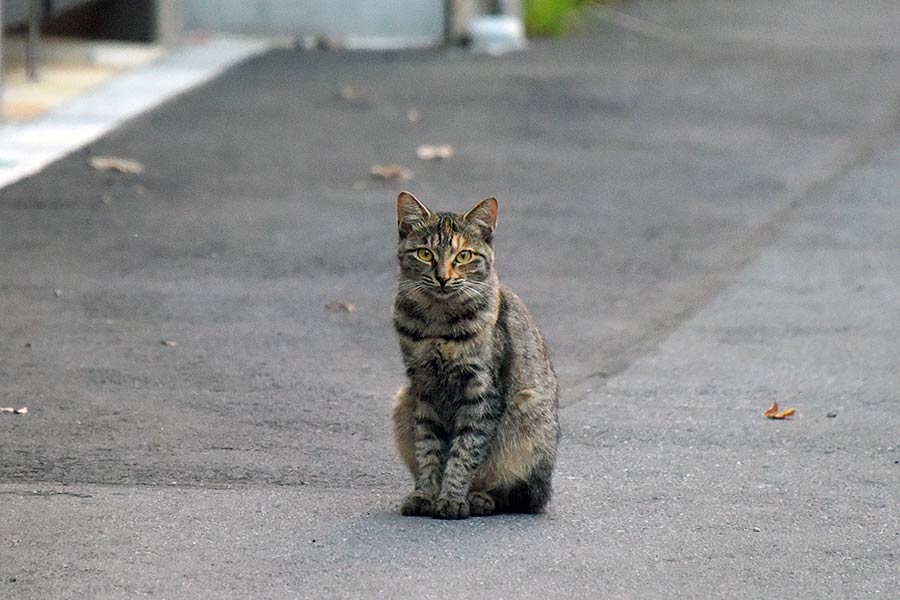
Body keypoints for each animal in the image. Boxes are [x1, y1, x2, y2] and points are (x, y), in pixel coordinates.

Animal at [392, 190, 560, 516]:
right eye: (425, 254)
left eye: (464, 256)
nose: (443, 277)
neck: (437, 323)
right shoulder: (422, 388)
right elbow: (428, 448)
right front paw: (426, 494)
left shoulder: (481, 391)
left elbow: (466, 450)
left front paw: (452, 499)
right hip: (401, 399)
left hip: (528, 416)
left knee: (522, 496)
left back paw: (480, 499)